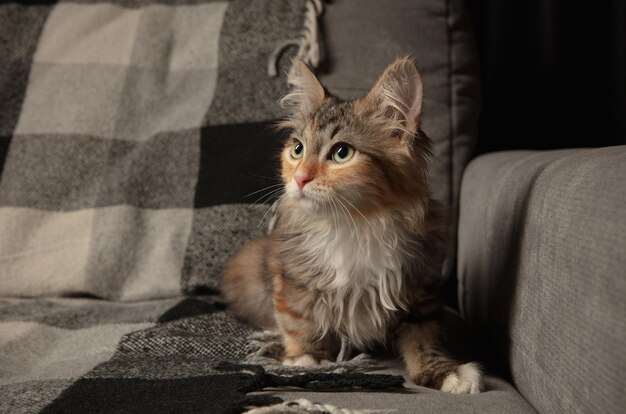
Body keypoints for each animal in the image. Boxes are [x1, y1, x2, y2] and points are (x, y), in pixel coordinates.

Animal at [221, 56, 482, 392]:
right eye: (297, 149)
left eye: (342, 153)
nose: (300, 178)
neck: (355, 224)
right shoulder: (293, 277)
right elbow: (299, 319)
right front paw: (307, 358)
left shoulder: (420, 291)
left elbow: (425, 338)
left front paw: (445, 372)